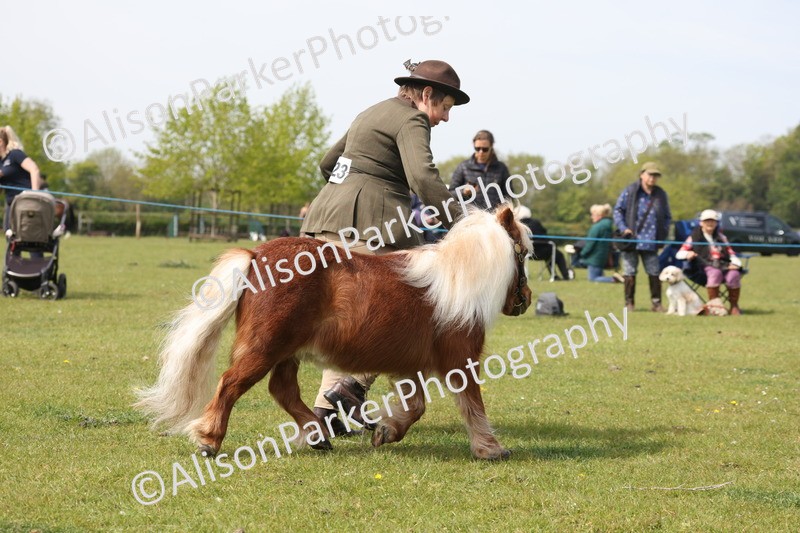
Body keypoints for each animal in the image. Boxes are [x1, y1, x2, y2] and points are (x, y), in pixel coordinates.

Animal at [135, 204, 533, 460]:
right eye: (525, 254)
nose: (526, 299)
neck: (457, 281)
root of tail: (255, 254)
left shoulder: (410, 365)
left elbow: (416, 406)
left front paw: (386, 431)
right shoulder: (460, 360)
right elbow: (471, 404)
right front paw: (490, 449)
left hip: (286, 352)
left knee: (283, 390)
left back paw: (317, 436)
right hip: (265, 347)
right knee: (231, 384)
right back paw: (209, 441)